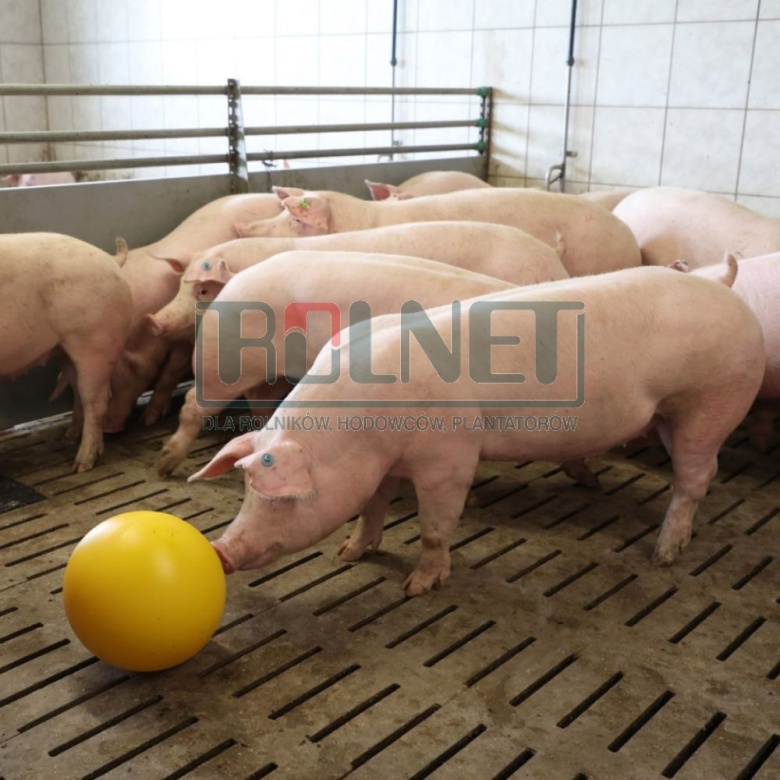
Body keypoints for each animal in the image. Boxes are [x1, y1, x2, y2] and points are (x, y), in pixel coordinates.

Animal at [0, 233, 132, 471]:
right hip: (66, 351)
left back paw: (81, 465)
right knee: (78, 391)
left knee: (95, 401)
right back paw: (68, 439)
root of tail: (112, 260)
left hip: (96, 342)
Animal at [190, 265, 765, 593]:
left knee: (696, 478)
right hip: (671, 413)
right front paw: (351, 553)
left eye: (281, 499)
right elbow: (373, 507)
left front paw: (418, 588)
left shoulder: (449, 458)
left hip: (713, 402)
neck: (362, 433)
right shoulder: (385, 465)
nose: (219, 551)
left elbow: (433, 528)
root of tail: (725, 290)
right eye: (244, 488)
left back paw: (664, 555)